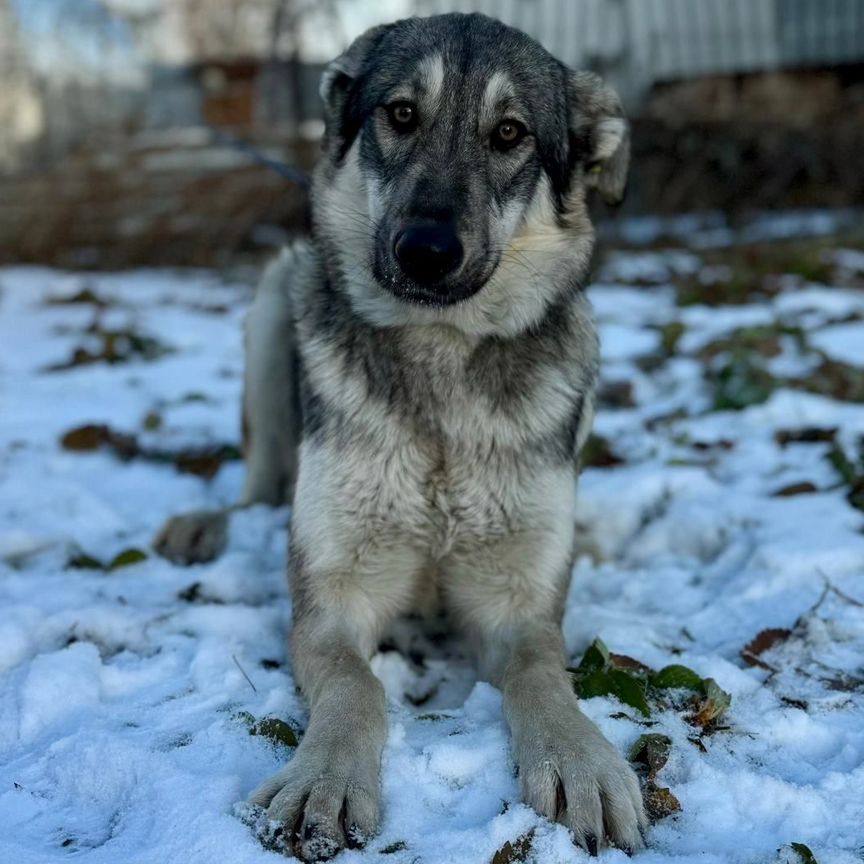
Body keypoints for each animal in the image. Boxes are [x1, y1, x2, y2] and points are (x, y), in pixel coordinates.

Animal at [155, 11, 644, 856]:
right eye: (402, 114)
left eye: (509, 133)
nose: (426, 251)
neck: (441, 362)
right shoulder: (332, 599)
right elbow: (357, 687)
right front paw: (325, 779)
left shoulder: (518, 604)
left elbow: (544, 673)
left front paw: (582, 757)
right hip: (276, 296)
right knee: (258, 491)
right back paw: (205, 525)